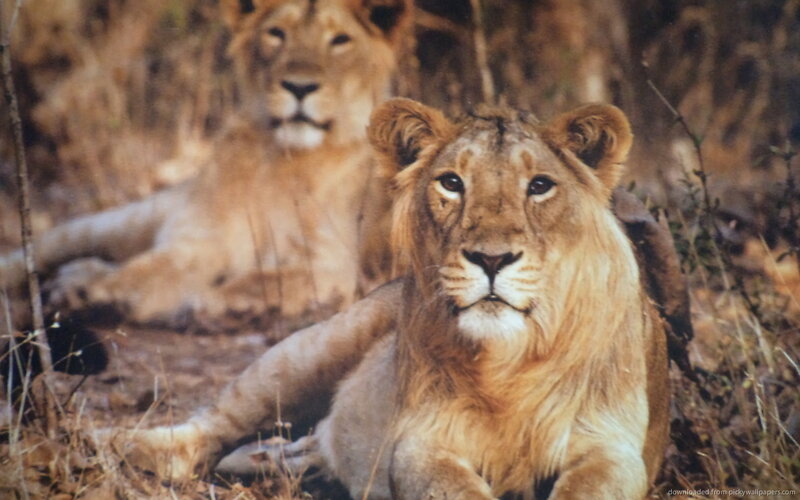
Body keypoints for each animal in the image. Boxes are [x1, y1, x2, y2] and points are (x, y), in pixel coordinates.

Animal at [0, 0, 410, 328]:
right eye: (276, 34)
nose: (299, 87)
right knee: (48, 245)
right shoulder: (201, 238)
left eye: (340, 40)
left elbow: (259, 280)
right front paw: (93, 290)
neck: (283, 159)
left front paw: (220, 306)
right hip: (125, 219)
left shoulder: (333, 264)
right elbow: (152, 268)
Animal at [104, 99, 670, 499]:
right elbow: (455, 487)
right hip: (307, 352)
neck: (510, 364)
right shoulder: (422, 440)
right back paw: (118, 443)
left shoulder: (612, 448)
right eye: (451, 183)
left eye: (540, 186)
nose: (490, 260)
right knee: (210, 427)